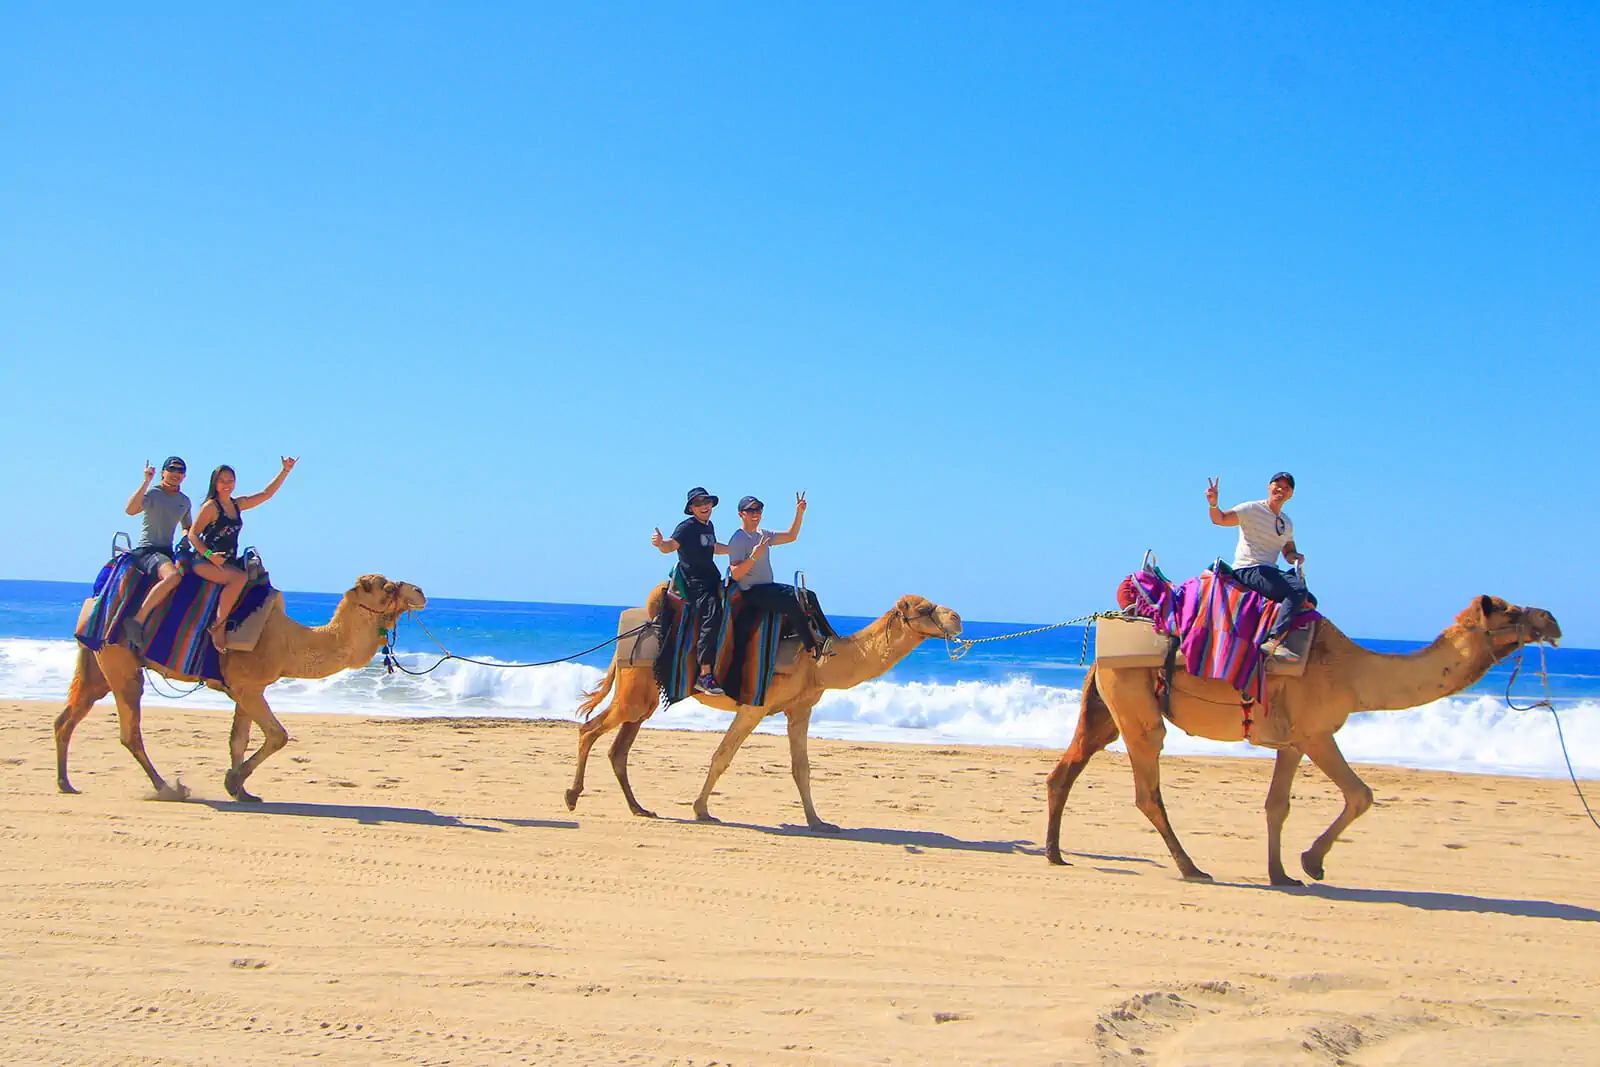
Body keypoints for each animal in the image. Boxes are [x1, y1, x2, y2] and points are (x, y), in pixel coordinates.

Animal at [60, 575, 428, 799]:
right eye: (387, 587)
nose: (421, 591)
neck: (289, 642)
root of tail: (91, 603)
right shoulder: (248, 687)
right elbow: (278, 735)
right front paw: (234, 782)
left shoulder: (247, 689)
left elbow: (239, 739)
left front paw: (240, 789)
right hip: (120, 661)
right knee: (129, 731)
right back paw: (168, 788)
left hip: (97, 663)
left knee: (69, 716)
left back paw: (66, 783)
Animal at [566, 588, 960, 831]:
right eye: (923, 609)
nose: (956, 617)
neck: (820, 659)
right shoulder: (756, 705)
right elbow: (722, 756)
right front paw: (702, 810)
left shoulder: (800, 710)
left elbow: (802, 768)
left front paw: (819, 823)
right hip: (635, 691)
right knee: (589, 729)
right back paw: (572, 796)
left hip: (643, 697)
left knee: (619, 748)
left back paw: (639, 808)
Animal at [1043, 591, 1555, 883]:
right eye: (1510, 610)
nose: (1551, 619)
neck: (1355, 672)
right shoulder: (1316, 733)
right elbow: (1361, 794)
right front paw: (1313, 863)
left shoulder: (1291, 742)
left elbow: (1277, 806)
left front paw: (1282, 874)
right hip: (1136, 704)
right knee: (1147, 786)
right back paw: (1191, 868)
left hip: (1104, 707)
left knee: (1065, 770)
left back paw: (1055, 854)